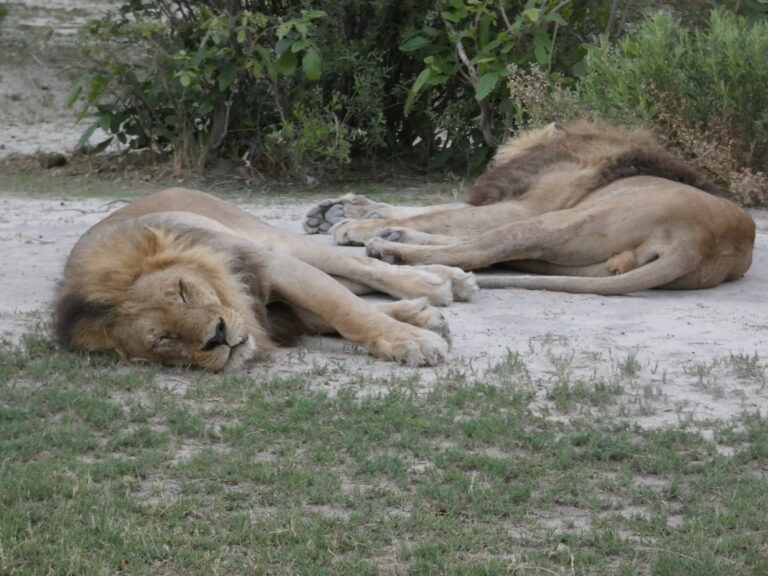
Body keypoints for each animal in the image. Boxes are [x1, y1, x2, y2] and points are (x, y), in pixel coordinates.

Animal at [54, 188, 478, 371]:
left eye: (183, 291)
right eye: (162, 339)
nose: (218, 336)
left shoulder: (273, 266)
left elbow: (347, 311)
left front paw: (412, 342)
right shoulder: (278, 313)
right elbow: (341, 310)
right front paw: (420, 324)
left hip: (276, 242)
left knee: (362, 270)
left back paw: (442, 283)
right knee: (355, 281)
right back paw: (431, 300)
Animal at [304, 121, 756, 294]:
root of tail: (700, 242)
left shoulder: (521, 208)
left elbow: (439, 213)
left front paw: (351, 225)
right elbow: (429, 209)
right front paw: (339, 209)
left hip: (559, 222)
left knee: (476, 250)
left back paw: (388, 248)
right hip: (575, 263)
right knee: (483, 250)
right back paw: (388, 235)